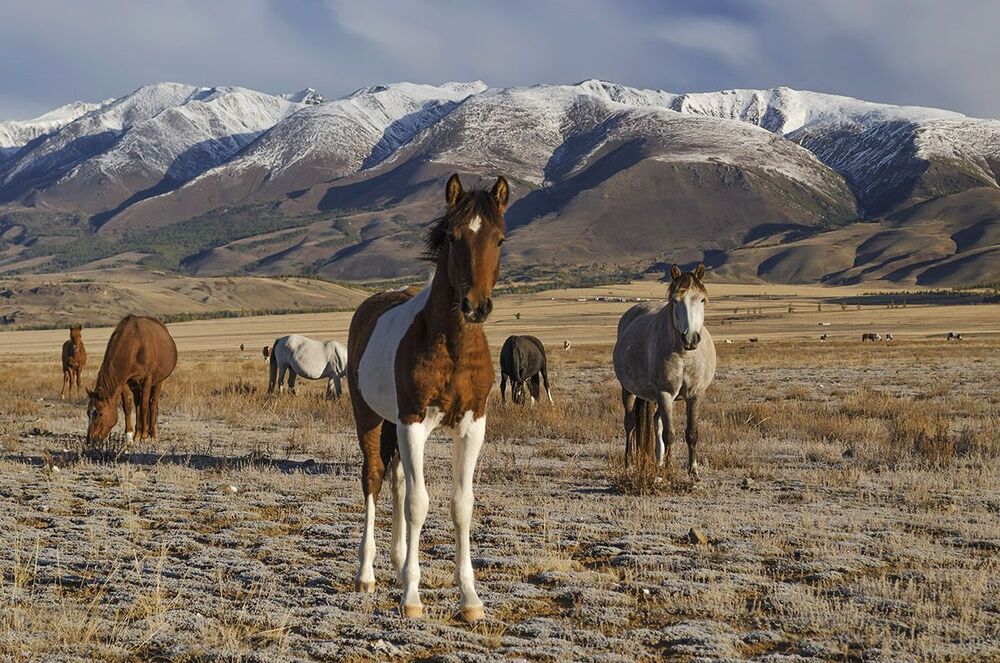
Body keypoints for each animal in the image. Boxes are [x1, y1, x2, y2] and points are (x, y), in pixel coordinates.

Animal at [86, 315, 177, 444]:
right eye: (88, 413)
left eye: (100, 413)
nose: (90, 440)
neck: (136, 345)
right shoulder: (125, 382)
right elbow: (128, 406)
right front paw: (129, 435)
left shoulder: (147, 380)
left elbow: (144, 406)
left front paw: (144, 436)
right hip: (136, 385)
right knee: (138, 403)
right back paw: (137, 434)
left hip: (158, 382)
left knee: (152, 403)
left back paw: (152, 434)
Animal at [346, 173, 507, 622]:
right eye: (453, 236)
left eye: (500, 238)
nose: (476, 306)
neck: (451, 345)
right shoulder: (413, 420)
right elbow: (419, 503)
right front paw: (412, 597)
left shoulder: (473, 424)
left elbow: (461, 505)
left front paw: (470, 598)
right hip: (369, 418)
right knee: (374, 478)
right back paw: (366, 573)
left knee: (398, 478)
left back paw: (399, 561)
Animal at [613, 264, 716, 478]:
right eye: (675, 301)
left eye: (702, 299)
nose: (690, 338)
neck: (684, 355)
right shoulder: (665, 394)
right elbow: (670, 434)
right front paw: (669, 468)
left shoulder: (695, 395)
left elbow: (691, 433)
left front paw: (693, 470)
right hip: (629, 390)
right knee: (630, 423)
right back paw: (629, 463)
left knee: (655, 421)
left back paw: (657, 461)